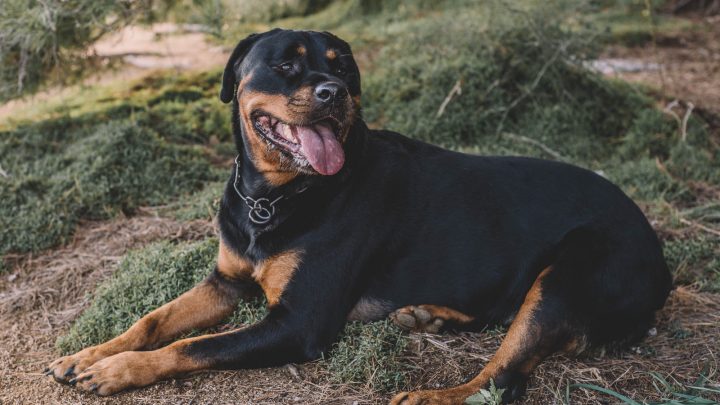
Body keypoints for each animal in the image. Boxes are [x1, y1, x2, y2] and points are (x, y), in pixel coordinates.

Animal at [47, 30, 672, 402]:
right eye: (285, 66)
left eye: (343, 68)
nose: (334, 92)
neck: (273, 198)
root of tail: (662, 261)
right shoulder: (225, 281)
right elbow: (153, 321)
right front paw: (88, 354)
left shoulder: (298, 323)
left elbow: (189, 346)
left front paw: (117, 370)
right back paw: (429, 315)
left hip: (568, 273)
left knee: (505, 377)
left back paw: (432, 394)